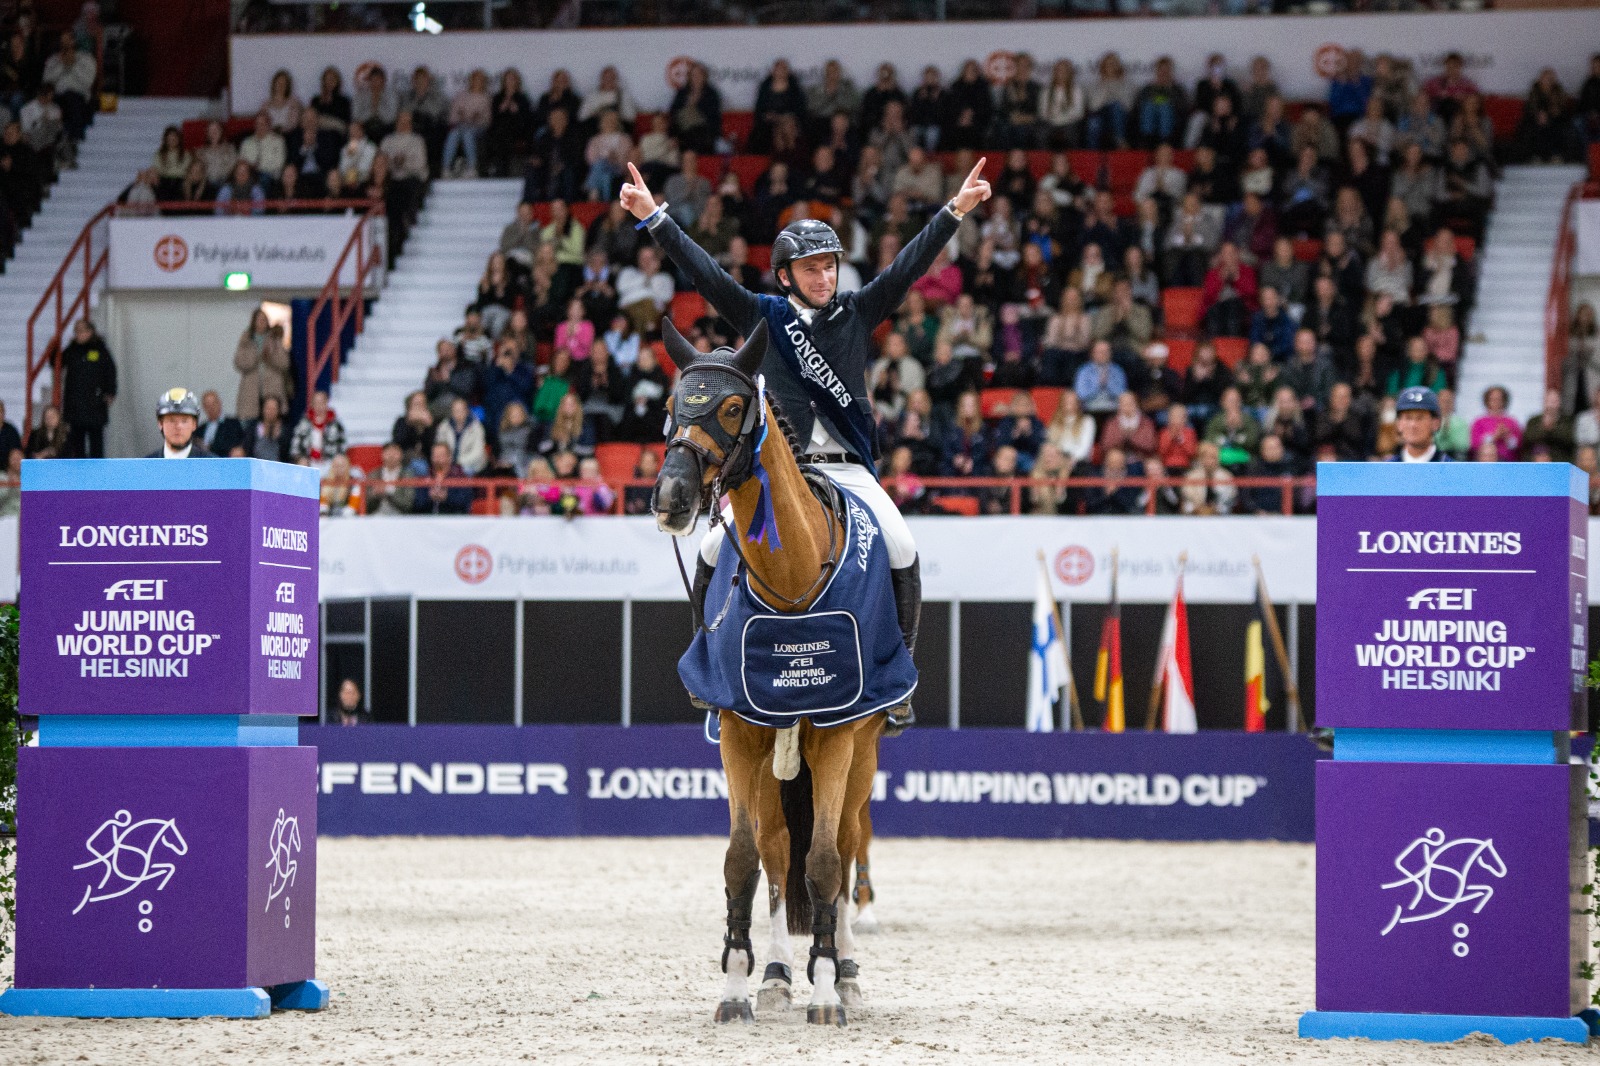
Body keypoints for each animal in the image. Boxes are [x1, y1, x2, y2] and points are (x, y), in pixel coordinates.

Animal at [652, 316, 902, 1024]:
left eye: (733, 407)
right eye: (671, 408)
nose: (672, 496)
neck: (790, 578)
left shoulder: (837, 735)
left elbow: (823, 863)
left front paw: (827, 991)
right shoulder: (742, 733)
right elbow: (744, 859)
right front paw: (739, 988)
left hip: (864, 750)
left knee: (843, 843)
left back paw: (843, 970)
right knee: (777, 847)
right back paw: (777, 973)